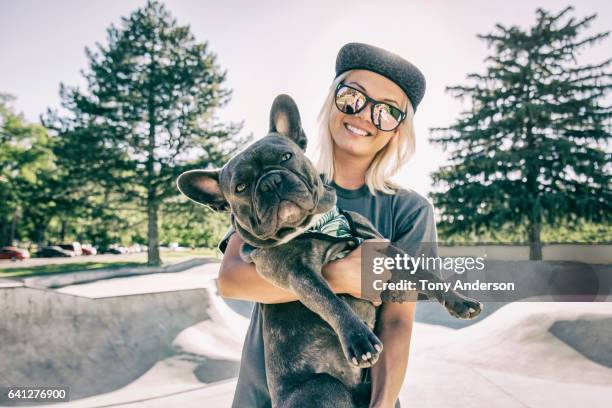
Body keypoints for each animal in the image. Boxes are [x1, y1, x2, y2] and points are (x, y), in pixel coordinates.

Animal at [175, 95, 480, 404]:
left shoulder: (383, 249)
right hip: (323, 387)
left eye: (286, 157)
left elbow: (424, 274)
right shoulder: (297, 273)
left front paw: (460, 302)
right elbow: (330, 300)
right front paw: (359, 339)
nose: (270, 182)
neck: (316, 224)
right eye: (240, 187)